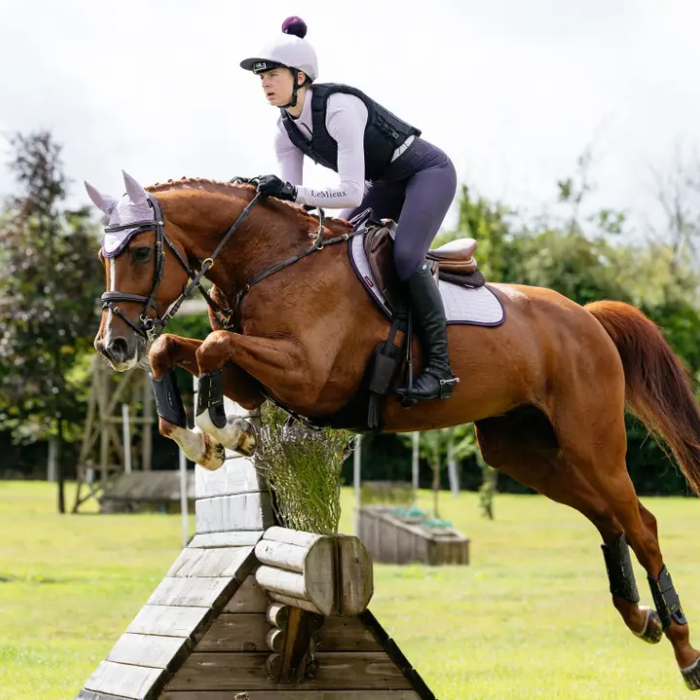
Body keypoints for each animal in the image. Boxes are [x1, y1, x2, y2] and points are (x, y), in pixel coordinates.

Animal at [87, 170, 700, 691]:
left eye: (141, 251)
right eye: (102, 256)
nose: (112, 345)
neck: (273, 262)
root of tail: (587, 317)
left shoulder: (308, 376)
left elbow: (212, 346)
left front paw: (223, 431)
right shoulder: (260, 377)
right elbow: (178, 349)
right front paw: (208, 439)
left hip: (591, 445)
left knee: (641, 524)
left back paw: (683, 650)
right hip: (522, 451)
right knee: (608, 520)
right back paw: (640, 618)